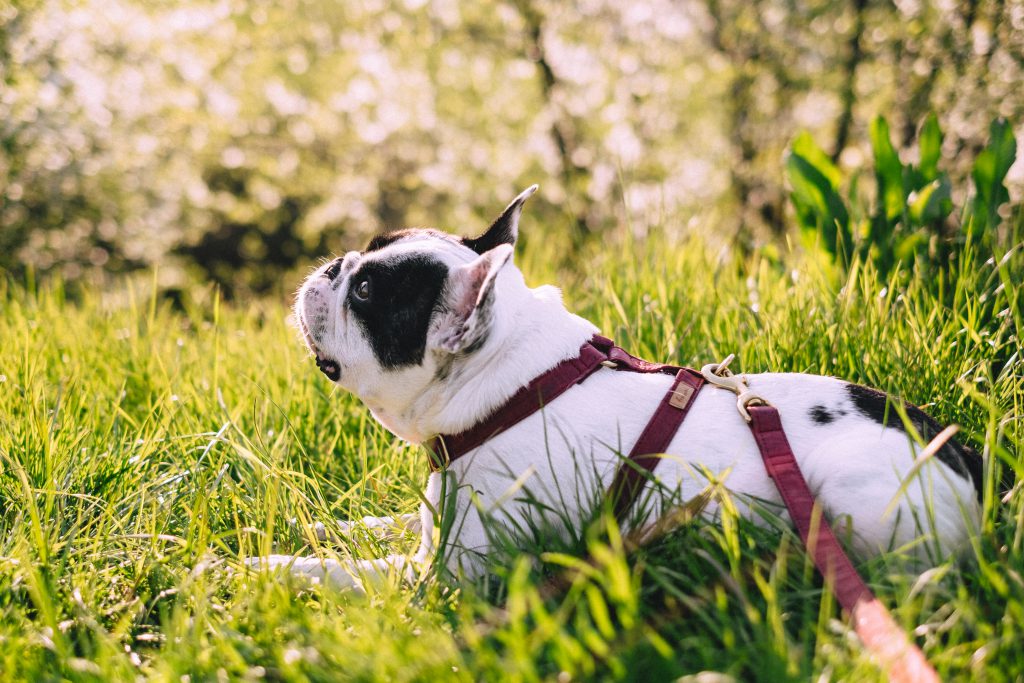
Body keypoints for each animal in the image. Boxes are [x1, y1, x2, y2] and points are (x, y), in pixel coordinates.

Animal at [249, 187, 983, 593]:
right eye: (361, 256)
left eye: (367, 292)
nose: (333, 266)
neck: (516, 389)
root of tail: (969, 458)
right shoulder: (436, 518)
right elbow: (381, 524)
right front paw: (324, 524)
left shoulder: (451, 574)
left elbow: (343, 573)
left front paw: (256, 569)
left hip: (855, 502)